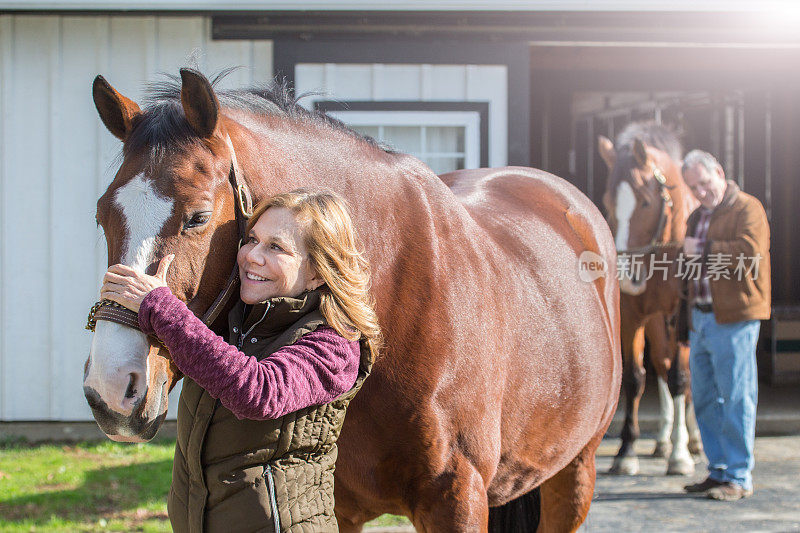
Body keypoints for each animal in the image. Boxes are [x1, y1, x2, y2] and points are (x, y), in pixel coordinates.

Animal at [83, 68, 620, 528]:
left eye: (196, 217)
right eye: (101, 214)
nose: (110, 391)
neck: (393, 303)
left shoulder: (457, 501)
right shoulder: (334, 503)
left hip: (575, 473)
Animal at [596, 122, 704, 476]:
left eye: (645, 202)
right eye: (608, 202)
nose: (622, 275)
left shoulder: (681, 316)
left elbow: (681, 378)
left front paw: (681, 456)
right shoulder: (633, 316)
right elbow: (635, 378)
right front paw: (626, 451)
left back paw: (692, 442)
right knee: (660, 362)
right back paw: (661, 442)